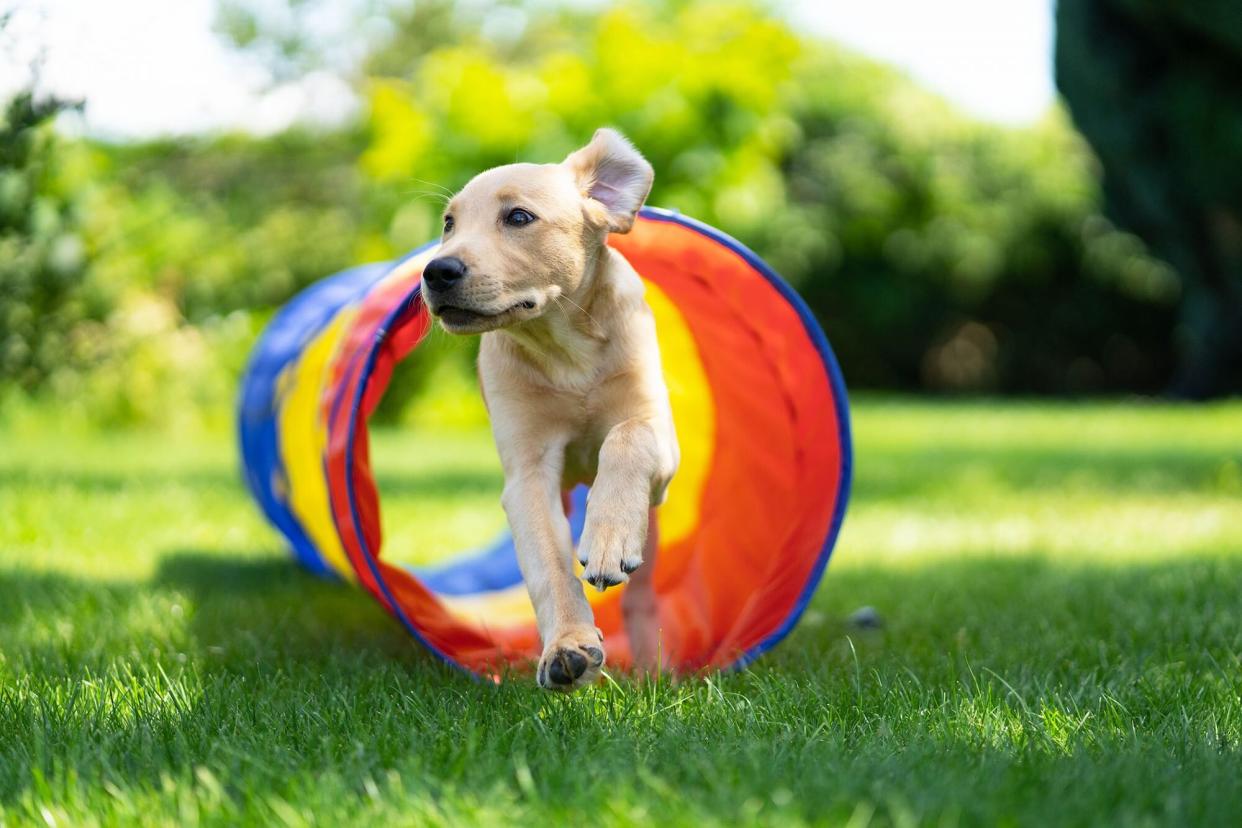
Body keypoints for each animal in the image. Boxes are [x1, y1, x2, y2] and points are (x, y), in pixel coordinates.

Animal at [419, 127, 680, 685]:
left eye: (518, 217)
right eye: (449, 223)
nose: (436, 270)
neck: (565, 352)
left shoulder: (657, 432)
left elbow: (627, 436)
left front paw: (608, 538)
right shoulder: (529, 473)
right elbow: (548, 564)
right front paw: (568, 648)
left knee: (642, 597)